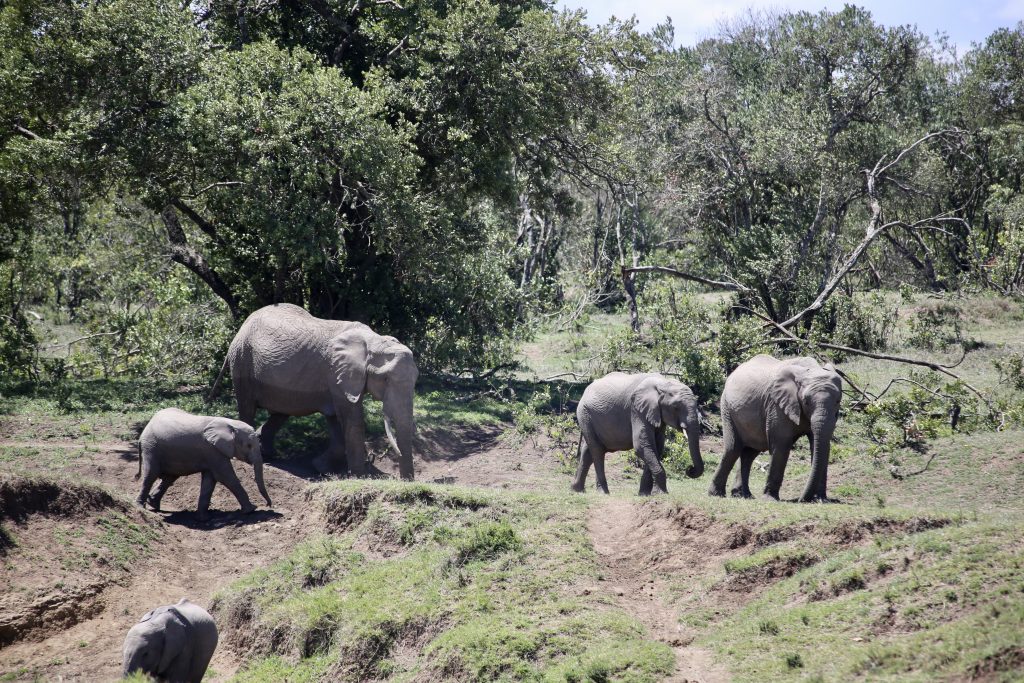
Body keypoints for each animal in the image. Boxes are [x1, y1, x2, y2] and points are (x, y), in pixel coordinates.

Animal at [136, 409, 272, 520]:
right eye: (249, 445)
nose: (268, 505)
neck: (229, 423)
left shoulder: (212, 453)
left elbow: (209, 480)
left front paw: (204, 518)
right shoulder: (212, 450)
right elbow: (226, 477)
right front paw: (251, 510)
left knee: (170, 477)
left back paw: (152, 504)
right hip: (151, 447)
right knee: (151, 474)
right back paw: (140, 507)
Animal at [214, 305, 417, 481]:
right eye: (385, 379)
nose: (405, 481)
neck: (373, 341)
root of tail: (243, 325)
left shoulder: (338, 378)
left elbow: (336, 419)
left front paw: (321, 468)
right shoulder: (337, 372)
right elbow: (352, 419)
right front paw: (360, 477)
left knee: (281, 412)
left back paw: (267, 454)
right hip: (242, 361)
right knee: (247, 407)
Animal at [569, 370, 704, 493]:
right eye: (675, 407)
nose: (689, 469)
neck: (663, 383)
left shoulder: (655, 413)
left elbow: (656, 447)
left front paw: (646, 494)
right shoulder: (637, 410)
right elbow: (642, 445)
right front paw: (661, 493)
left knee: (588, 451)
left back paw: (577, 490)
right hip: (584, 414)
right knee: (597, 450)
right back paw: (603, 492)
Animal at [708, 358, 843, 501]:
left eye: (838, 401)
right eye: (806, 402)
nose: (801, 499)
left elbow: (820, 447)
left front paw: (821, 500)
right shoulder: (777, 405)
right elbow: (781, 446)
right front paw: (769, 499)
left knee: (749, 453)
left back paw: (743, 495)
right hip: (727, 408)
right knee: (733, 449)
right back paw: (717, 494)